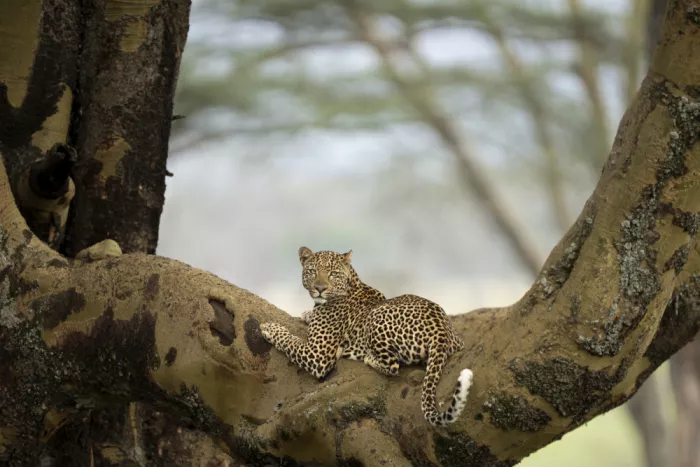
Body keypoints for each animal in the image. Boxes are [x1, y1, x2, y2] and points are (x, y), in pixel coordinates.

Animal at [259, 246, 473, 427]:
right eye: (312, 271)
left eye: (332, 273)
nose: (319, 288)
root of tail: (441, 330)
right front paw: (306, 314)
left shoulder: (318, 356)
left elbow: (291, 342)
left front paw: (269, 327)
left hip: (377, 315)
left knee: (393, 365)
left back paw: (369, 357)